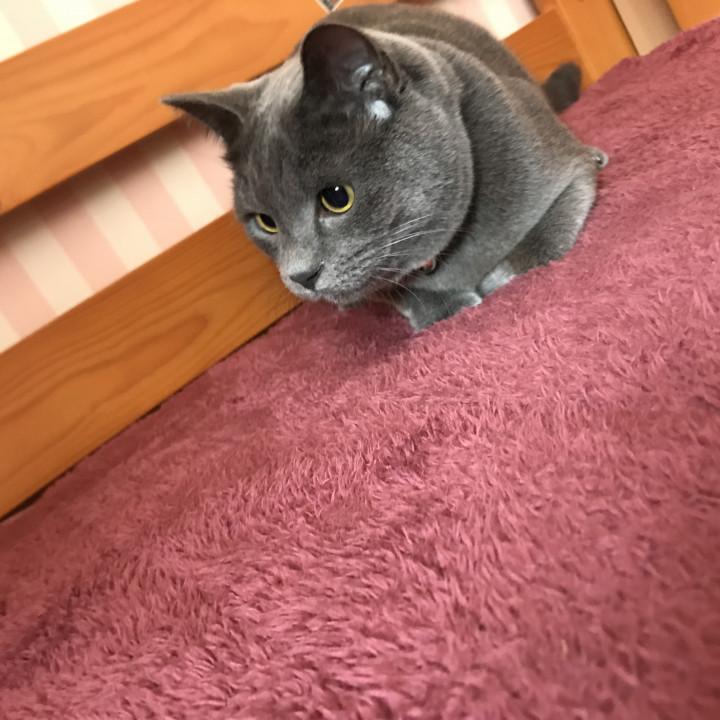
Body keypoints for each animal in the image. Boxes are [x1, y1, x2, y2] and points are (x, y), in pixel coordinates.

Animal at [164, 3, 606, 331]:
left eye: (337, 198)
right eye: (265, 222)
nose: (300, 276)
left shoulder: (565, 173)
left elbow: (540, 238)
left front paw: (500, 276)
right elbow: (394, 289)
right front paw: (442, 307)